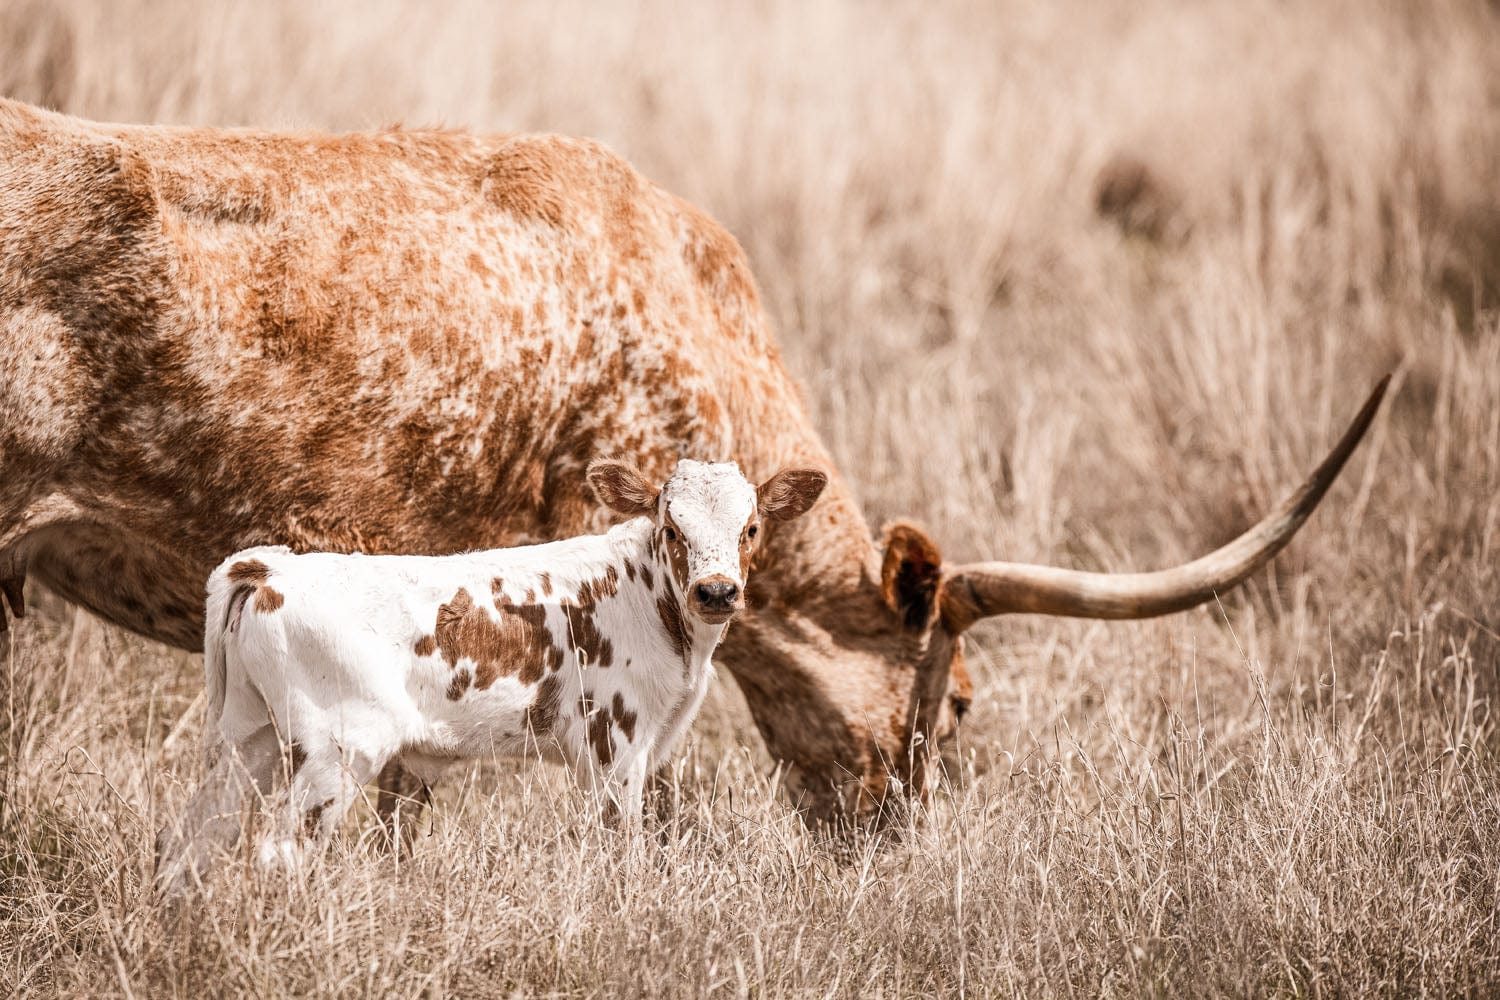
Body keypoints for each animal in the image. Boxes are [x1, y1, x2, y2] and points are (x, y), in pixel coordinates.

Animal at [153, 458, 827, 892]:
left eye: (751, 528)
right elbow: (620, 851)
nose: (717, 592)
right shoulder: (613, 747)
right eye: (671, 528)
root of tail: (272, 568)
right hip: (339, 751)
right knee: (282, 852)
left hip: (248, 739)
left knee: (189, 845)